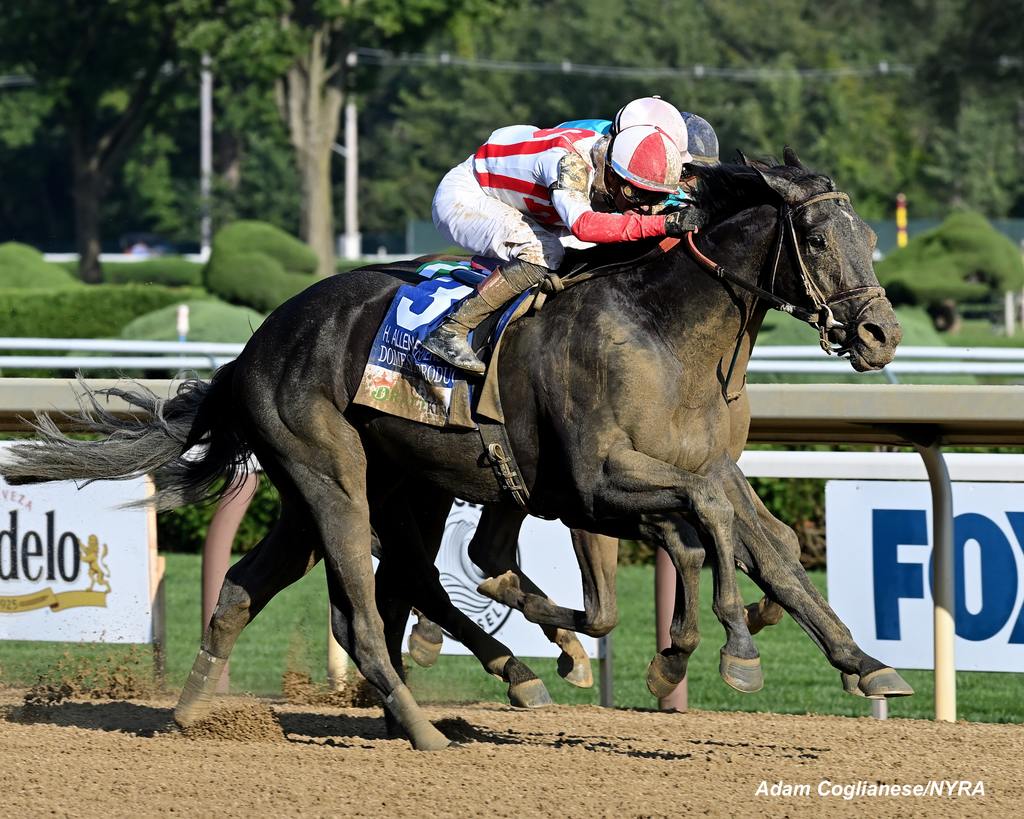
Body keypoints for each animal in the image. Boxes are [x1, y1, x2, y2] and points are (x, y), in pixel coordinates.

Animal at [0, 150, 913, 753]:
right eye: (821, 241)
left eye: (872, 234)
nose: (880, 333)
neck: (663, 331)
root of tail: (252, 348)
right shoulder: (596, 483)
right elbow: (703, 528)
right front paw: (725, 648)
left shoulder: (706, 463)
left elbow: (774, 548)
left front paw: (864, 664)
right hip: (337, 478)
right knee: (372, 607)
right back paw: (428, 722)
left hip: (342, 488)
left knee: (259, 588)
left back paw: (196, 711)